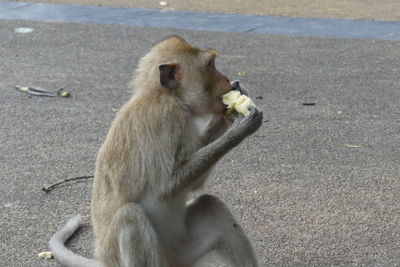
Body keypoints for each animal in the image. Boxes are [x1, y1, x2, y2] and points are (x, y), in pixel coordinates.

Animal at [49, 36, 262, 267]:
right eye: (210, 65)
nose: (227, 79)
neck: (167, 95)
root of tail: (104, 261)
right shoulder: (163, 118)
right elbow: (166, 186)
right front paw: (240, 127)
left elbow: (194, 184)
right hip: (125, 256)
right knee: (130, 217)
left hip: (183, 253)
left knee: (211, 206)